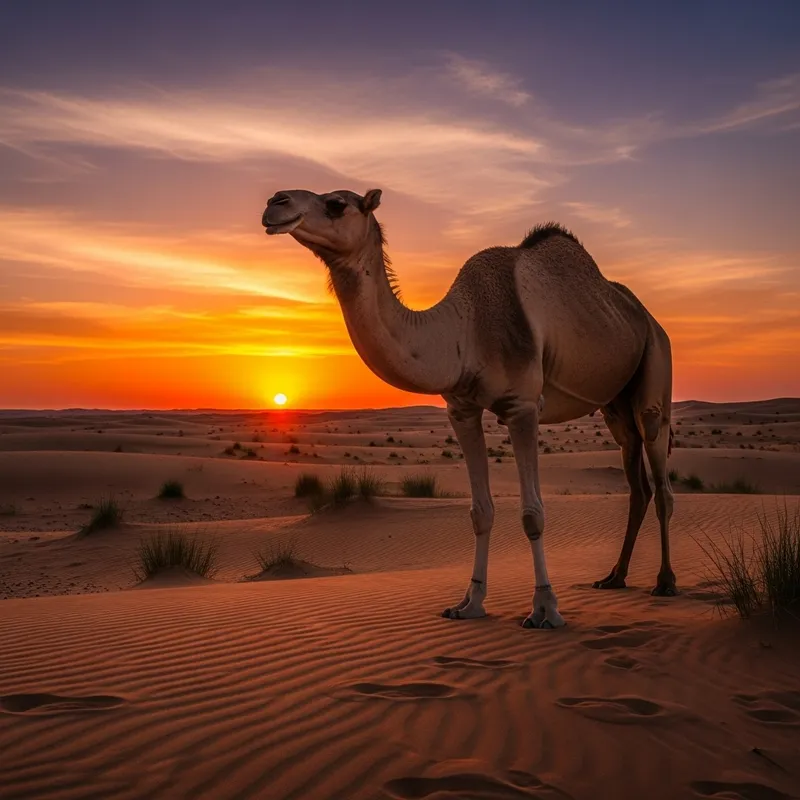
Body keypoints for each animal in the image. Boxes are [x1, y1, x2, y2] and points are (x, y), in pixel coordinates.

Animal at [262, 188, 676, 629]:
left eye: (337, 203)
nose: (276, 202)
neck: (465, 328)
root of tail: (649, 318)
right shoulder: (461, 409)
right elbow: (480, 512)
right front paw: (469, 604)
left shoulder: (522, 406)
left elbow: (532, 514)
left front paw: (545, 608)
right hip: (615, 405)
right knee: (637, 480)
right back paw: (614, 577)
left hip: (655, 362)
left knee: (659, 470)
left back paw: (665, 582)